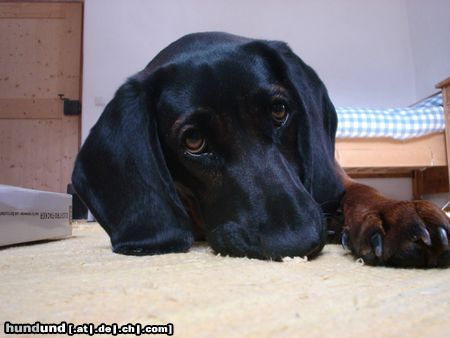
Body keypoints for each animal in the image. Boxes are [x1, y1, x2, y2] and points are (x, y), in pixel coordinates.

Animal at [72, 33, 448, 268]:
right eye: (193, 141)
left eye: (279, 111)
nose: (295, 242)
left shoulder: (332, 175)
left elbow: (361, 189)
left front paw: (393, 211)